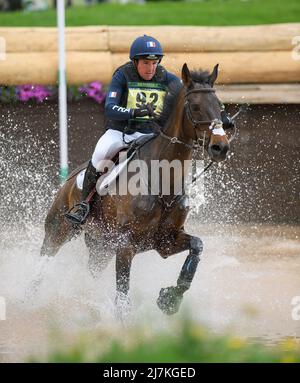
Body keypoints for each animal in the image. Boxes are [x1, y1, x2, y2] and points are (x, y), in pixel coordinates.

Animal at [38, 64, 230, 318]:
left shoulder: (166, 241)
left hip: (100, 248)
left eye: (219, 106)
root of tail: (68, 181)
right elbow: (123, 296)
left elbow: (196, 248)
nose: (221, 147)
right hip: (58, 230)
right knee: (43, 262)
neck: (162, 183)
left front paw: (170, 298)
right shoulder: (125, 246)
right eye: (196, 106)